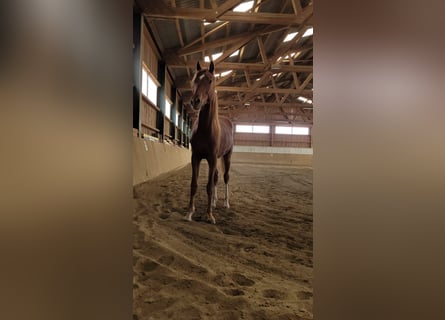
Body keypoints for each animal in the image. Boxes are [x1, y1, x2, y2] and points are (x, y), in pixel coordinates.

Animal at [184, 60, 232, 225]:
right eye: (194, 80)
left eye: (210, 80)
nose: (195, 101)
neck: (206, 130)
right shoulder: (196, 157)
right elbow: (194, 184)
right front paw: (189, 212)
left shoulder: (212, 158)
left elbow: (209, 186)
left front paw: (209, 215)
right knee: (216, 177)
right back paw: (214, 202)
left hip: (227, 156)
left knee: (225, 177)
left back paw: (225, 203)